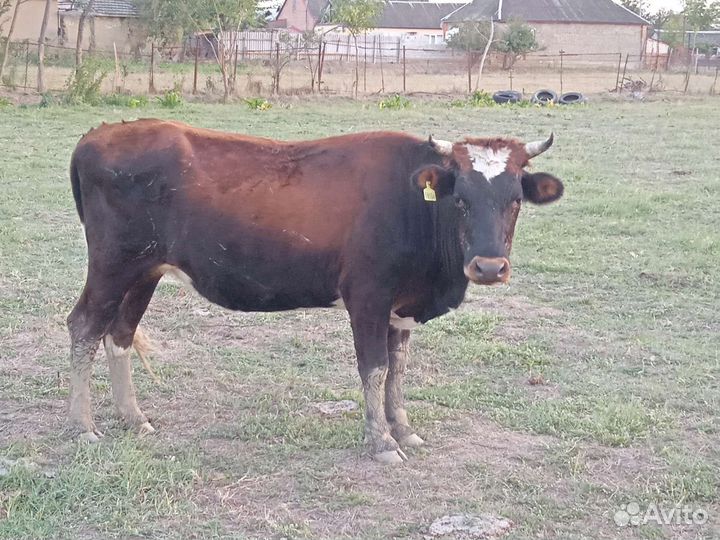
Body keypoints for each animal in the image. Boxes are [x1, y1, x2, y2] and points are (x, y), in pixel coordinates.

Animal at [67, 119, 563, 464]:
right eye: (460, 199)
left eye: (515, 200)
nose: (489, 267)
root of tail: (100, 134)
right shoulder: (367, 297)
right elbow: (375, 369)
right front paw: (381, 442)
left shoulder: (400, 308)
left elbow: (399, 371)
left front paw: (402, 429)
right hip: (113, 266)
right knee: (84, 327)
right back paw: (82, 427)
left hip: (144, 272)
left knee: (119, 335)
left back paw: (133, 418)